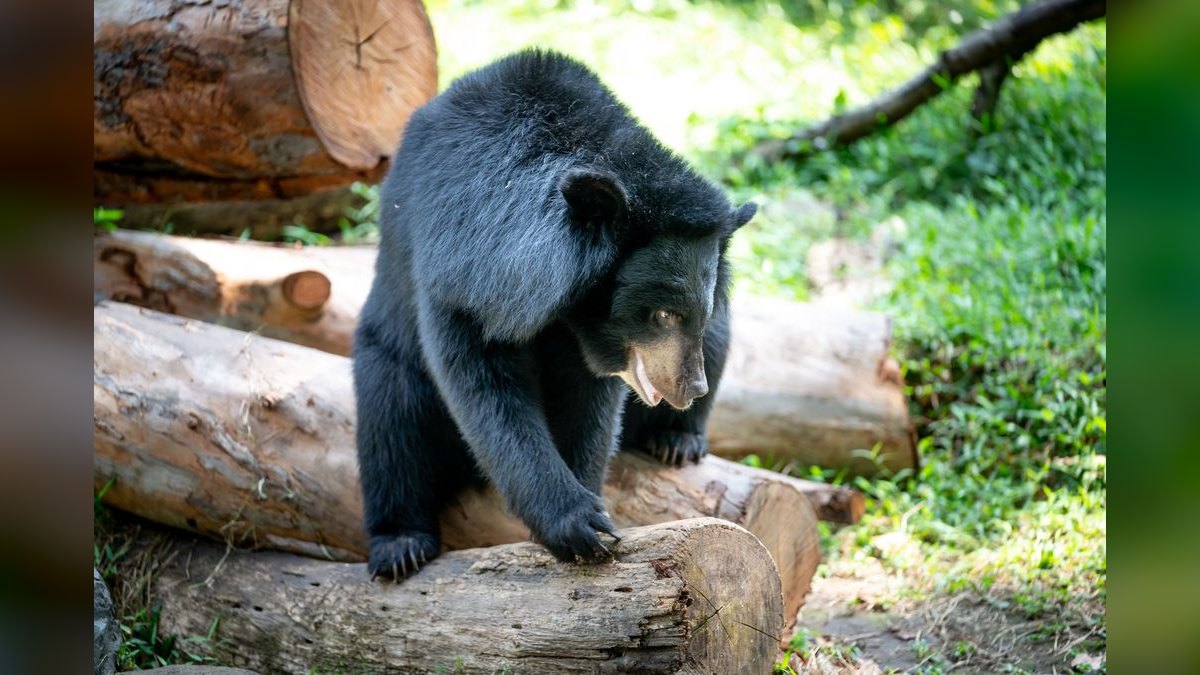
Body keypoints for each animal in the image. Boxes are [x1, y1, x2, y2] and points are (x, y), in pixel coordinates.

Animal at [353, 49, 755, 580]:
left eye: (695, 311)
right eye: (663, 314)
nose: (691, 389)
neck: (561, 305)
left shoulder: (599, 341)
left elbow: (590, 403)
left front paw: (589, 511)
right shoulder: (456, 272)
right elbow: (484, 389)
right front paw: (577, 525)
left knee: (721, 342)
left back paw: (676, 439)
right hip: (388, 349)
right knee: (390, 418)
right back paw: (400, 546)